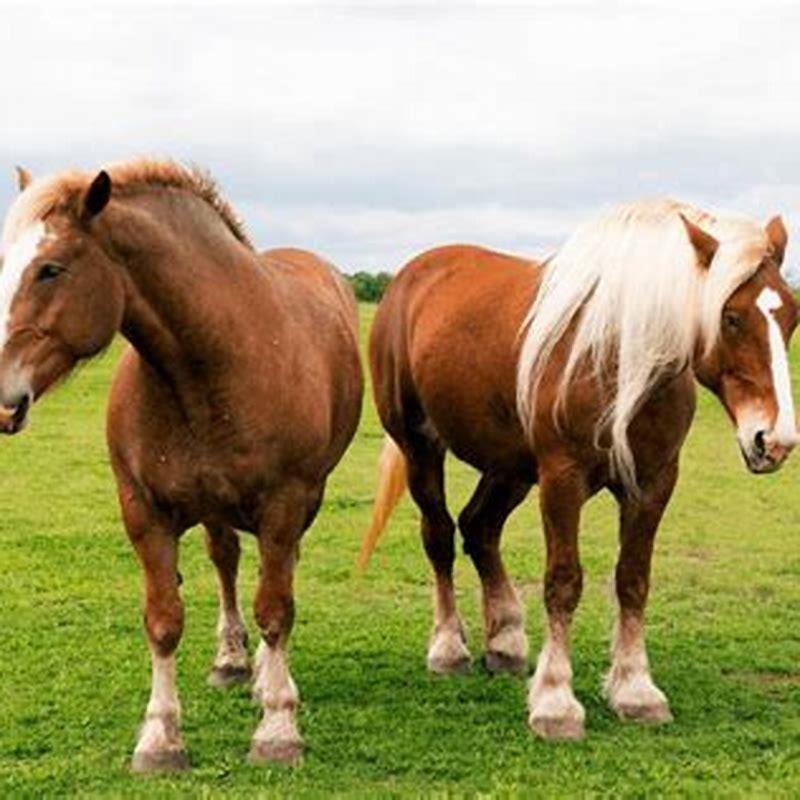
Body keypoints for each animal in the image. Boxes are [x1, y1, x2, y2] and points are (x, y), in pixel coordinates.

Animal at [0, 160, 363, 769]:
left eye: (51, 269)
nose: (3, 398)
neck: (211, 364)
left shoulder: (285, 505)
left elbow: (275, 608)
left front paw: (278, 727)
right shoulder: (143, 512)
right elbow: (164, 619)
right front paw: (160, 737)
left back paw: (264, 676)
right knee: (226, 562)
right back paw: (232, 661)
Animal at [358, 199, 798, 740]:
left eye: (791, 315)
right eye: (732, 317)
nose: (773, 440)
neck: (621, 356)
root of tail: (411, 277)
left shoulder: (652, 484)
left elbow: (632, 579)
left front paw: (635, 690)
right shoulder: (562, 479)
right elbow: (563, 583)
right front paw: (555, 702)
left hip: (509, 467)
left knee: (480, 528)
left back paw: (505, 641)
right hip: (421, 446)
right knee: (439, 535)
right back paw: (448, 647)